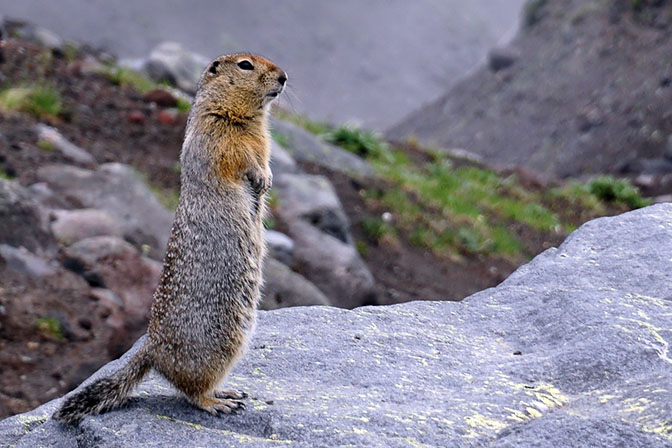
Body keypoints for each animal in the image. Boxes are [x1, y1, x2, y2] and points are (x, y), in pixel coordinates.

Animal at [55, 52, 288, 424]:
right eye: (245, 65)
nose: (283, 77)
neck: (247, 117)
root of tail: (150, 348)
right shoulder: (218, 134)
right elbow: (236, 158)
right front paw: (258, 175)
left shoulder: (260, 140)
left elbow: (263, 157)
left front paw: (266, 178)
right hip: (215, 349)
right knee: (190, 391)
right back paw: (217, 401)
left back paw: (229, 391)